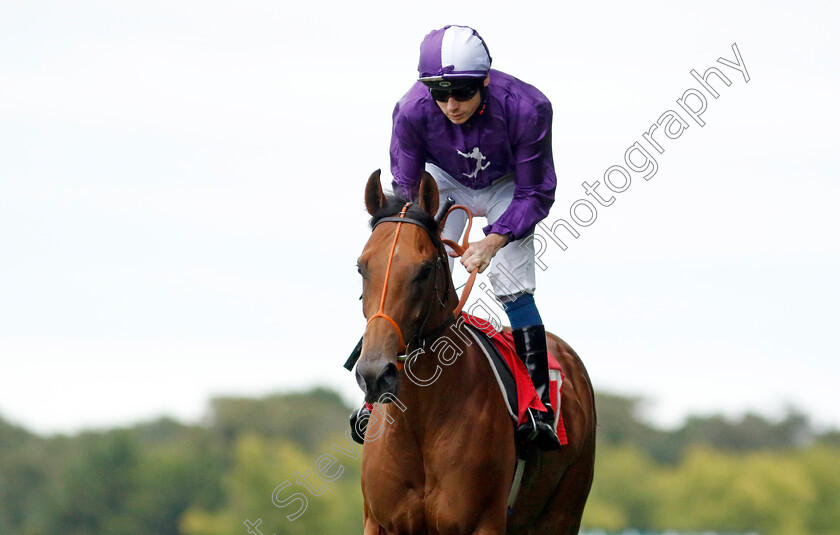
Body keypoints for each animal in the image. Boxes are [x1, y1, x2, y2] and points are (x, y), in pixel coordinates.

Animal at [354, 171, 596, 535]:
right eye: (362, 267)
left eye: (425, 270)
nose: (374, 373)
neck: (420, 422)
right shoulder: (380, 522)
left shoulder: (483, 522)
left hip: (564, 511)